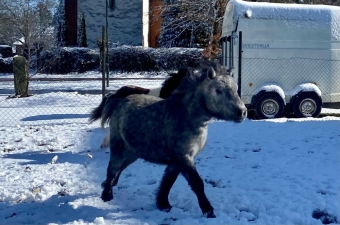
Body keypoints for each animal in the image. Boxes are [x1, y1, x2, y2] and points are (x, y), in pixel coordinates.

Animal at [97, 64, 246, 218]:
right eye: (218, 90)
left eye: (236, 89)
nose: (242, 112)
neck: (186, 116)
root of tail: (119, 102)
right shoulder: (184, 157)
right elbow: (197, 183)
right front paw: (208, 210)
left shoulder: (176, 161)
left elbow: (168, 181)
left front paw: (163, 204)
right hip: (119, 148)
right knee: (113, 168)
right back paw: (106, 195)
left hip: (133, 153)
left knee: (120, 168)